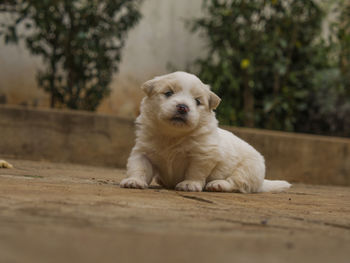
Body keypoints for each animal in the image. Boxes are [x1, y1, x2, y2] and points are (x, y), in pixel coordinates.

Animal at [120, 72, 290, 194]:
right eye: (168, 93)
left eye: (197, 101)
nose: (183, 107)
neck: (173, 135)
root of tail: (261, 183)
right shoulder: (142, 152)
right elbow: (139, 167)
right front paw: (133, 181)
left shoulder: (203, 155)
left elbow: (195, 172)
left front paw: (189, 184)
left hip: (248, 169)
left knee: (236, 183)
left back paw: (217, 184)